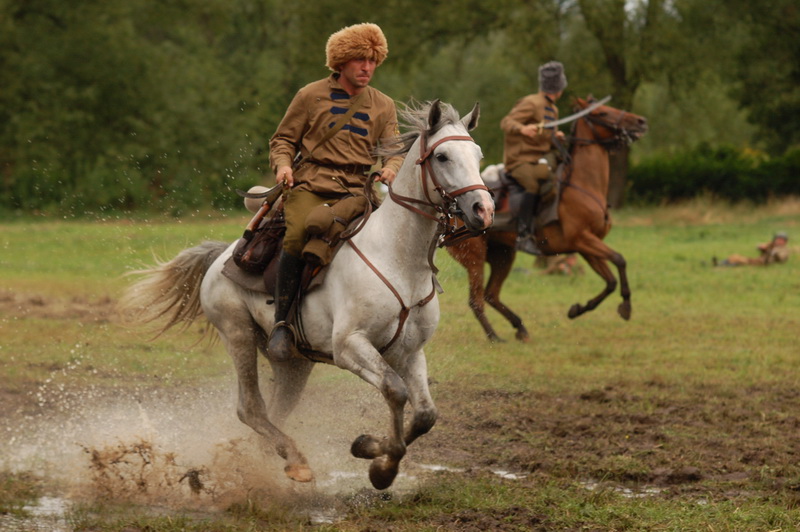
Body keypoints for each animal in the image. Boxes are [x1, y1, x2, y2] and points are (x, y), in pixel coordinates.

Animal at [118, 100, 494, 490]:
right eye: (442, 156)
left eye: (478, 155)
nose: (483, 210)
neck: (396, 258)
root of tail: (223, 255)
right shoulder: (350, 346)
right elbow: (395, 391)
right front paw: (379, 463)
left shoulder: (410, 352)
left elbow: (424, 415)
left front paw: (375, 456)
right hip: (237, 334)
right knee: (251, 408)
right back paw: (295, 461)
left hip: (294, 364)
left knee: (274, 412)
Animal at [447, 97, 648, 342]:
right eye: (602, 113)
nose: (640, 121)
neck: (583, 185)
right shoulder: (584, 240)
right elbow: (620, 260)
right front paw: (626, 307)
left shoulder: (586, 246)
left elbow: (610, 281)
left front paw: (578, 309)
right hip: (475, 257)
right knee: (476, 300)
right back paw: (494, 336)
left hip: (503, 255)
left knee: (491, 295)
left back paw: (520, 327)